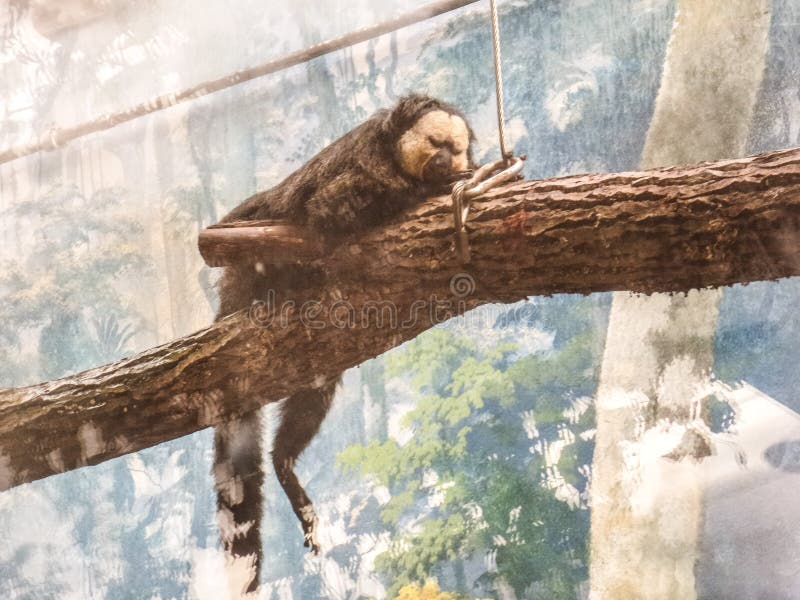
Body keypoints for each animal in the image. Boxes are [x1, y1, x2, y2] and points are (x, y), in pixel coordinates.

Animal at [212, 94, 476, 592]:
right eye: (436, 144)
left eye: (455, 148)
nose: (445, 161)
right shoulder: (365, 164)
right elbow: (328, 211)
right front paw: (434, 187)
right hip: (243, 267)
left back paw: (283, 463)